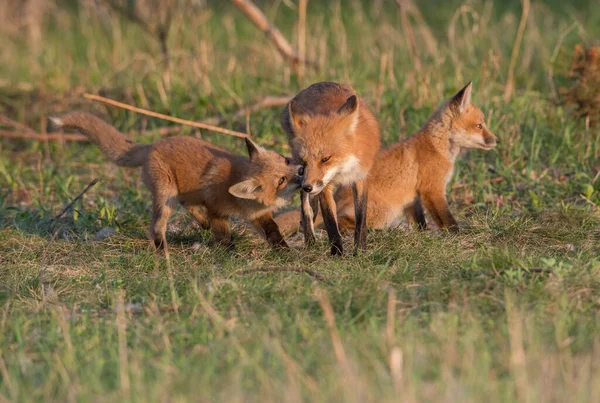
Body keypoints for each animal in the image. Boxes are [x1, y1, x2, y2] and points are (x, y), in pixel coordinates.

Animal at [50, 112, 304, 251]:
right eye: (281, 180)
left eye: (286, 160)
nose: (302, 170)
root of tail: (152, 144)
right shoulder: (216, 209)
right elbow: (224, 234)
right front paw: (229, 252)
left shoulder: (258, 215)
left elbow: (273, 232)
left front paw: (285, 252)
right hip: (165, 195)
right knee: (157, 226)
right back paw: (162, 251)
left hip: (178, 193)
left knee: (188, 204)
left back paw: (199, 223)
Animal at [276, 82, 496, 234]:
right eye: (479, 126)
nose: (496, 140)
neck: (437, 147)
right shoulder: (432, 190)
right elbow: (447, 220)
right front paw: (457, 234)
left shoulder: (413, 198)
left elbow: (421, 222)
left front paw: (423, 234)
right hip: (385, 212)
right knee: (338, 221)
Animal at [282, 82, 380, 256]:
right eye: (304, 161)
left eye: (325, 159)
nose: (307, 187)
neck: (342, 170)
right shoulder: (323, 186)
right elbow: (330, 222)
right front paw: (337, 253)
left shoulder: (360, 176)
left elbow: (361, 219)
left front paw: (360, 250)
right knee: (305, 208)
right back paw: (310, 240)